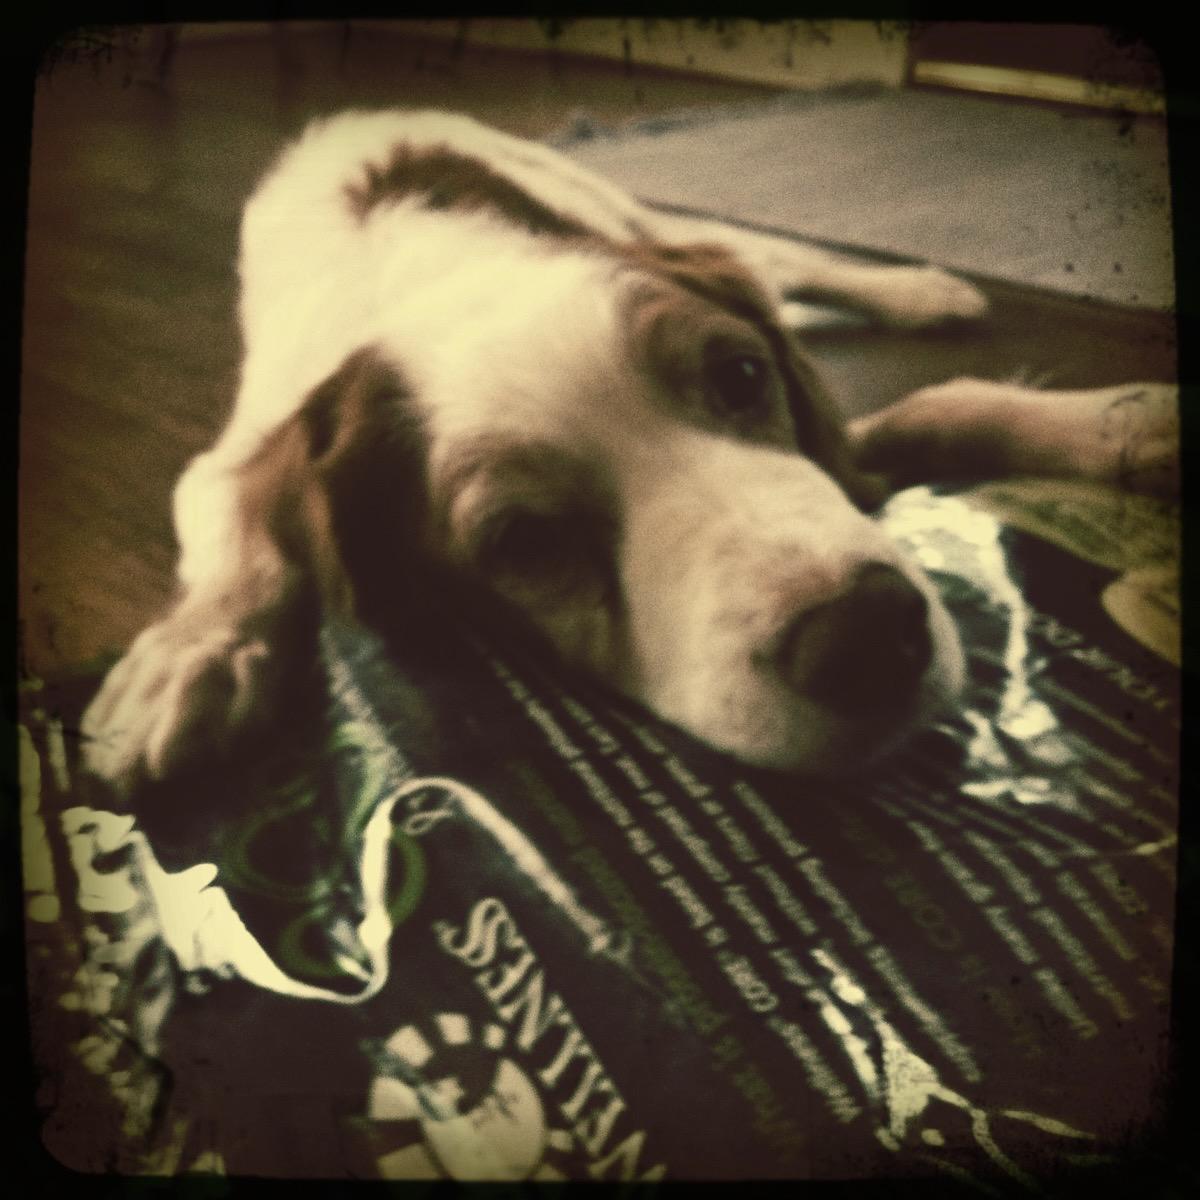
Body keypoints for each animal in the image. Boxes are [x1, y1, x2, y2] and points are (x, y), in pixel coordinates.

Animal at [80, 109, 1178, 789]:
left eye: (741, 376)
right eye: (524, 541)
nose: (868, 638)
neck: (444, 278)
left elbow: (943, 409)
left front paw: (1131, 422)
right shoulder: (240, 454)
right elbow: (240, 532)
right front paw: (196, 651)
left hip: (641, 213)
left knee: (786, 258)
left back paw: (918, 286)